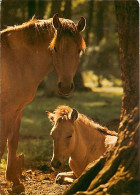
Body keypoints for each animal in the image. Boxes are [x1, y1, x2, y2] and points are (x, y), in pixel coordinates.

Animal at [0, 14, 86, 189]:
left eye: (78, 50)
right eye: (55, 49)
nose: (65, 87)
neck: (16, 60)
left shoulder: (17, 109)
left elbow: (12, 140)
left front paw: (14, 180)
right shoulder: (7, 109)